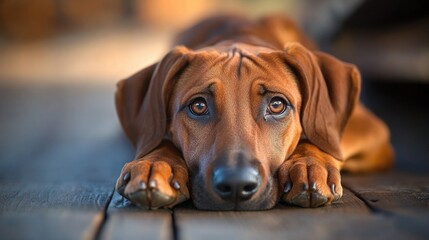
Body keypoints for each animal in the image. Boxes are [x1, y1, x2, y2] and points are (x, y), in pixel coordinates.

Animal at [114, 15, 394, 210]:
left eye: (277, 105)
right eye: (198, 106)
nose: (236, 185)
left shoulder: (368, 126)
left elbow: (324, 139)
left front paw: (309, 164)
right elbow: (158, 139)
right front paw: (156, 163)